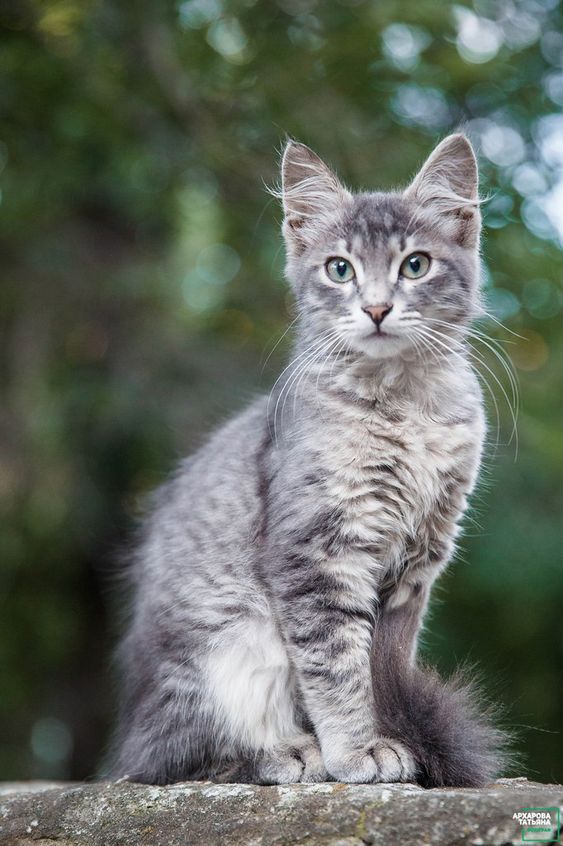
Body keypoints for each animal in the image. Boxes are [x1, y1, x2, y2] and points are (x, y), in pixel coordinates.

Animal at [110, 132, 506, 788]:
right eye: (340, 269)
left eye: (415, 265)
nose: (376, 308)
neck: (402, 408)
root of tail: (133, 729)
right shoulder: (316, 554)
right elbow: (337, 669)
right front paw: (356, 751)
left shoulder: (416, 568)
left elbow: (382, 667)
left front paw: (392, 737)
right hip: (227, 647)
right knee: (181, 759)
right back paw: (288, 751)